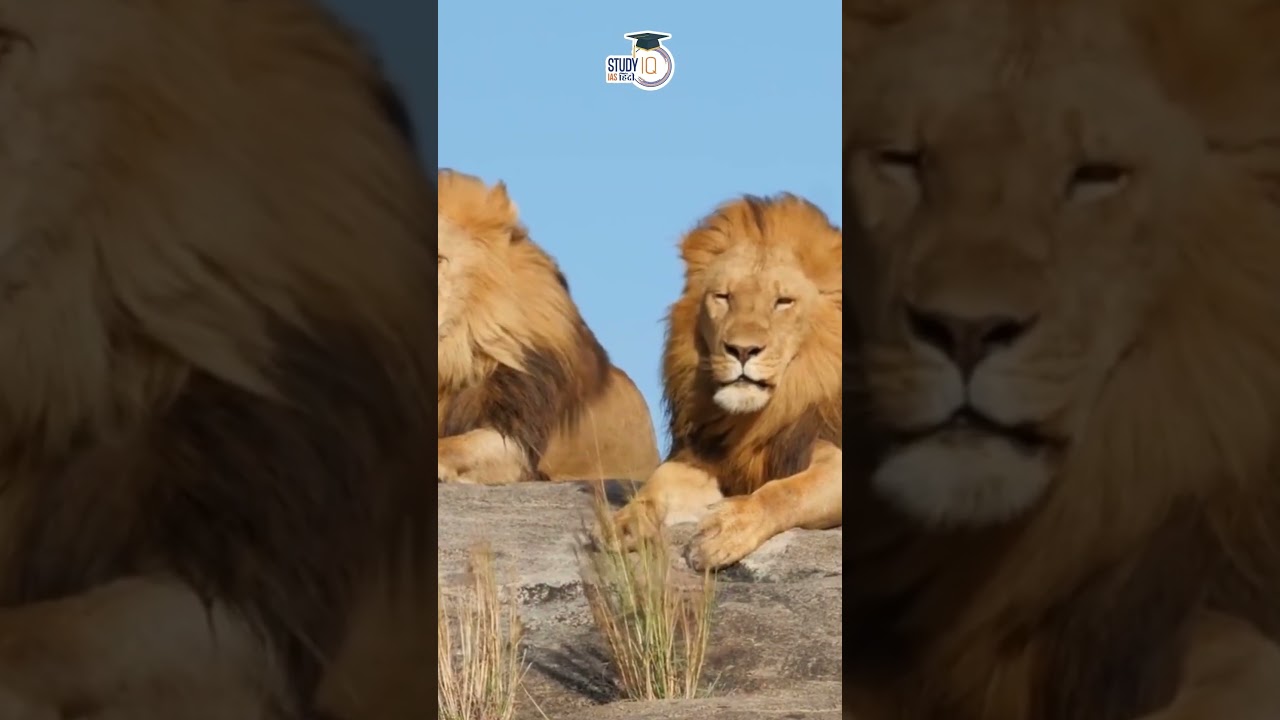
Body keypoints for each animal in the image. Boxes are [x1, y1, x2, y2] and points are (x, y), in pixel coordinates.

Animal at [613, 194, 843, 571]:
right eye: (723, 297)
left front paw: (727, 528)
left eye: (783, 302)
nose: (742, 349)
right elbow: (660, 481)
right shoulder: (710, 457)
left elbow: (786, 490)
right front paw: (628, 520)